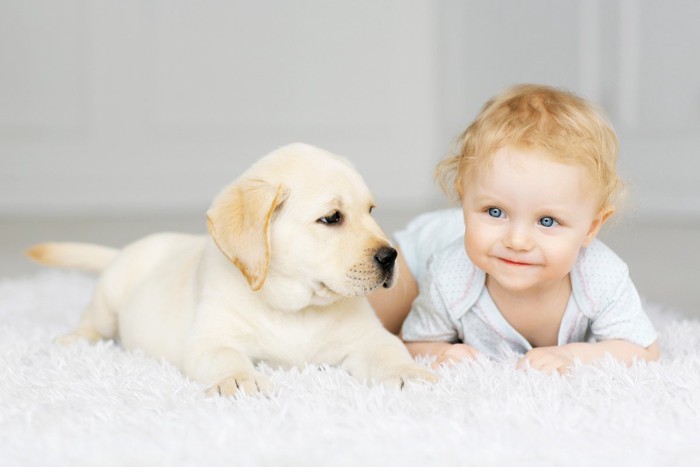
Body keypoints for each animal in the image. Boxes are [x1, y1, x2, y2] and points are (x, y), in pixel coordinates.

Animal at [30, 143, 434, 394]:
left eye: (371, 211)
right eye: (332, 218)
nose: (391, 257)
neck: (296, 309)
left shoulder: (369, 338)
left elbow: (390, 352)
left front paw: (410, 372)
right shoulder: (211, 340)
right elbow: (227, 357)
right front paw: (241, 380)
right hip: (110, 295)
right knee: (93, 321)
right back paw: (74, 339)